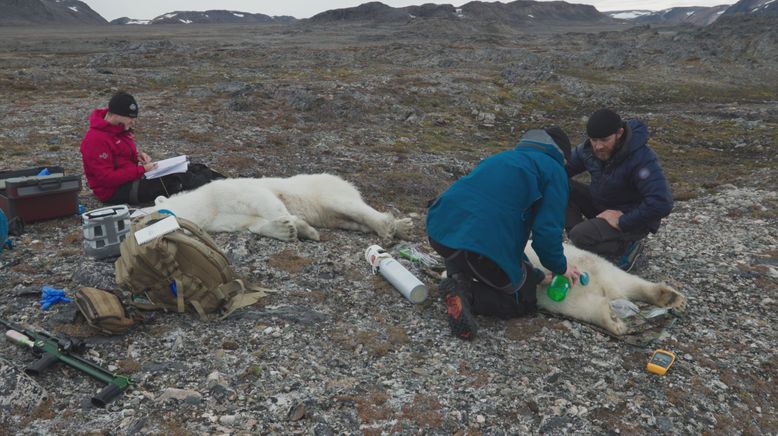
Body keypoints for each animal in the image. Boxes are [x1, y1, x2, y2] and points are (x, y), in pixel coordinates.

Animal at [144, 174, 412, 242]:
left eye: (139, 213)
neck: (205, 204)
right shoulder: (219, 218)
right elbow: (250, 223)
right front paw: (287, 230)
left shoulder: (227, 190)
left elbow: (266, 202)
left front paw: (303, 228)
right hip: (332, 215)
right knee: (349, 220)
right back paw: (400, 227)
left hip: (326, 190)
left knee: (351, 206)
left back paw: (388, 227)